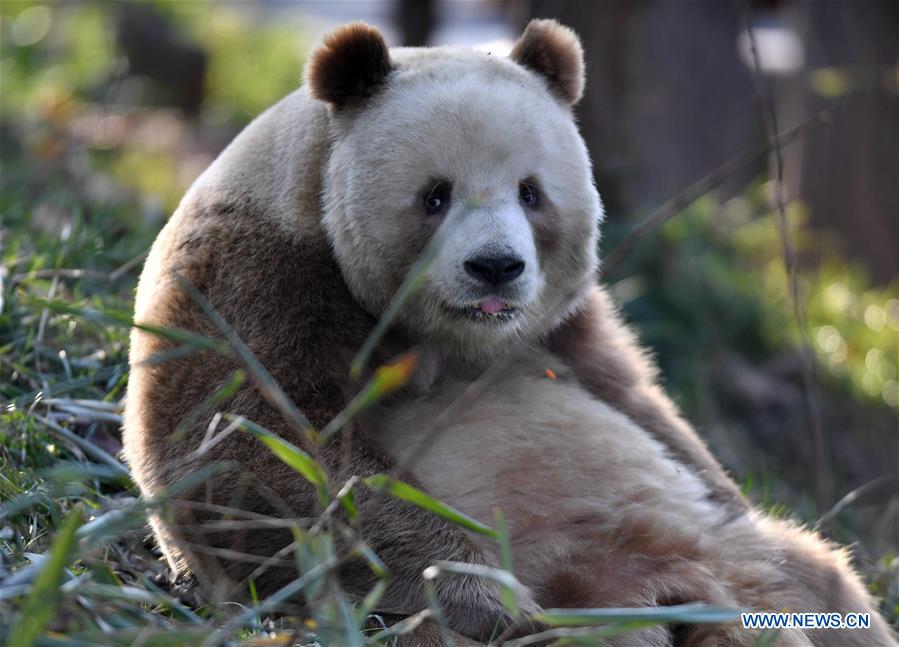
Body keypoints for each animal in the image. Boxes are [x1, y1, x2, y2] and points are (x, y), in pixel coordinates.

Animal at [122, 19, 895, 646]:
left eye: (531, 192)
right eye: (434, 195)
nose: (495, 267)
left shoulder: (567, 326)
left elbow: (644, 405)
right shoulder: (259, 275)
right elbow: (256, 451)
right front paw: (489, 596)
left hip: (758, 558)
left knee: (824, 581)